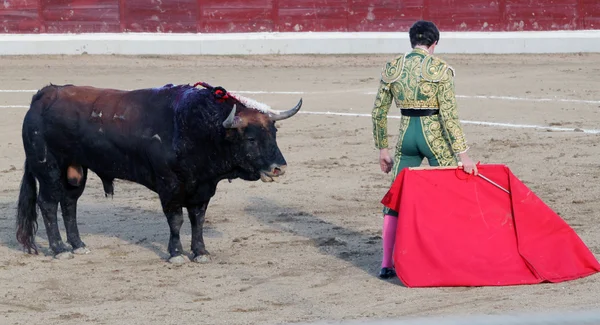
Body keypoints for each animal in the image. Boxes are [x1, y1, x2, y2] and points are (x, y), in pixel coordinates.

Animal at [16, 81, 302, 264]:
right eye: (251, 139)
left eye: (274, 133)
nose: (279, 168)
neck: (193, 128)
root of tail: (43, 95)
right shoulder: (170, 186)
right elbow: (176, 220)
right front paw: (176, 254)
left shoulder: (202, 188)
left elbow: (198, 220)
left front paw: (201, 253)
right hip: (48, 168)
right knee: (48, 204)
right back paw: (59, 249)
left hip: (75, 171)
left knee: (69, 204)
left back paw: (78, 246)